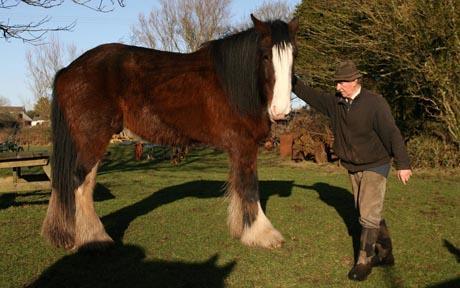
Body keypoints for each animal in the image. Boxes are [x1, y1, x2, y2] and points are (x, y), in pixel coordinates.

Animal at [42, 15, 298, 250]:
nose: (281, 111)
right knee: (78, 182)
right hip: (92, 138)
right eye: (265, 56)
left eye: (293, 57)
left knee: (82, 183)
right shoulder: (244, 144)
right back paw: (94, 238)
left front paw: (241, 229)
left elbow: (238, 185)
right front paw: (262, 234)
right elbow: (249, 187)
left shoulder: (237, 148)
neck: (234, 84)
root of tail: (68, 70)